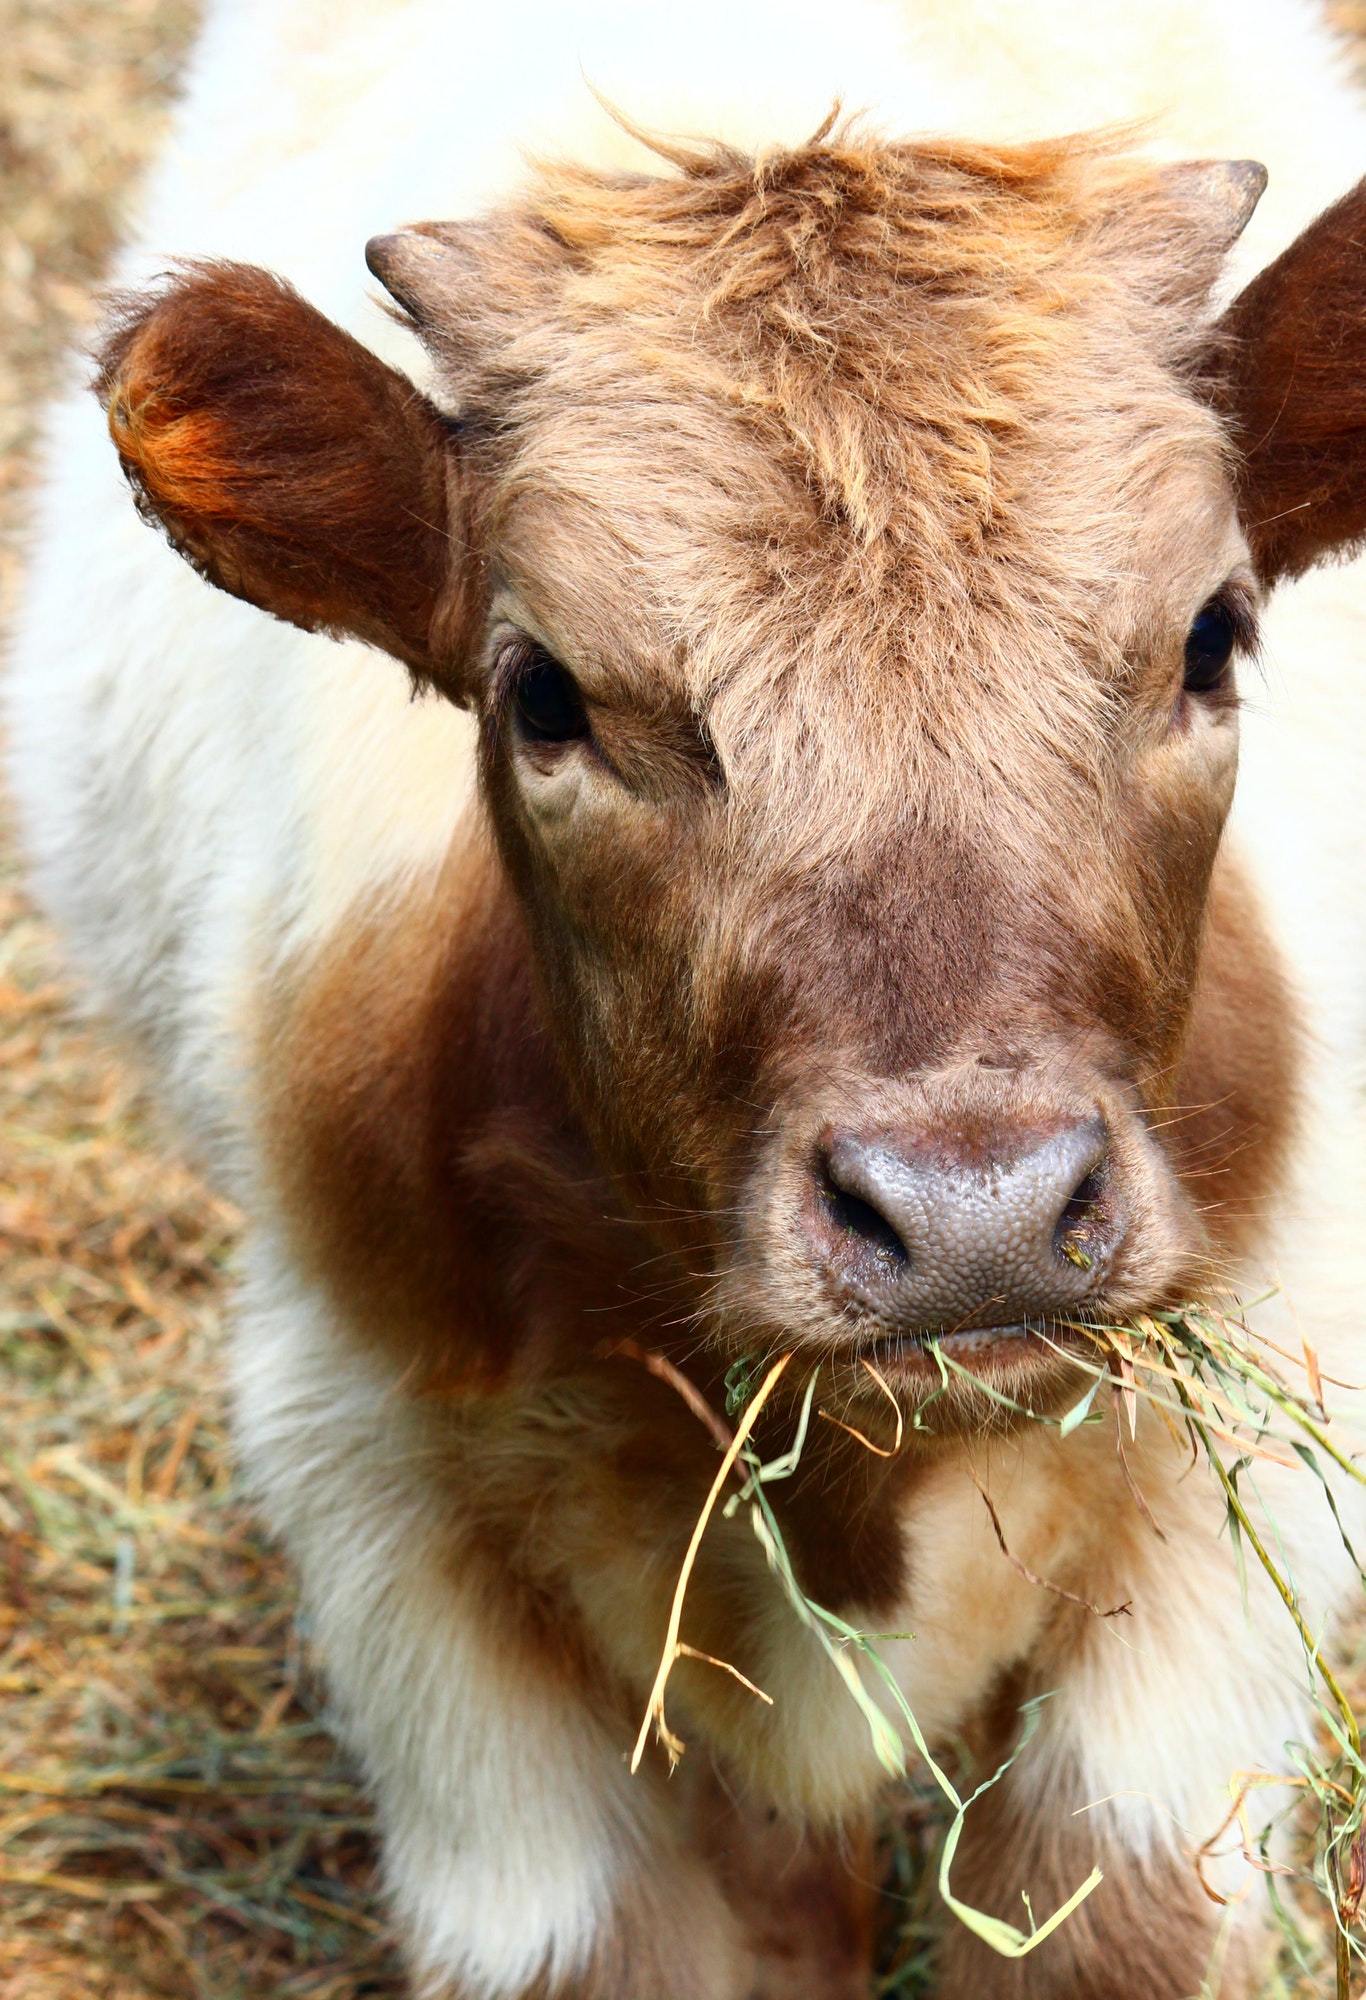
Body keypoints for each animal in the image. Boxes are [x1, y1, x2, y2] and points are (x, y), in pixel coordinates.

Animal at [10, 0, 1366, 1992]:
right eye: (545, 695)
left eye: (1211, 637)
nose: (975, 1213)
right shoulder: (395, 1526)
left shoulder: (1233, 1479)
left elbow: (1104, 1915)